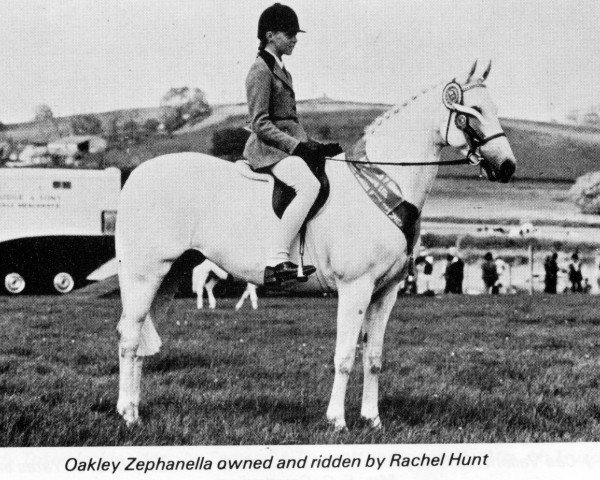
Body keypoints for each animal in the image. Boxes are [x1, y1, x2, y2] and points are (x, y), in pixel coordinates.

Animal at [116, 62, 516, 430]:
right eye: (472, 111)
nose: (507, 167)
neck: (383, 184)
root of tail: (136, 176)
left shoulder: (385, 291)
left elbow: (373, 357)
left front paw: (373, 420)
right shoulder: (356, 288)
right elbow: (345, 356)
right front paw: (337, 420)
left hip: (169, 276)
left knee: (140, 339)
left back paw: (132, 409)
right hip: (144, 275)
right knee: (130, 337)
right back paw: (129, 416)